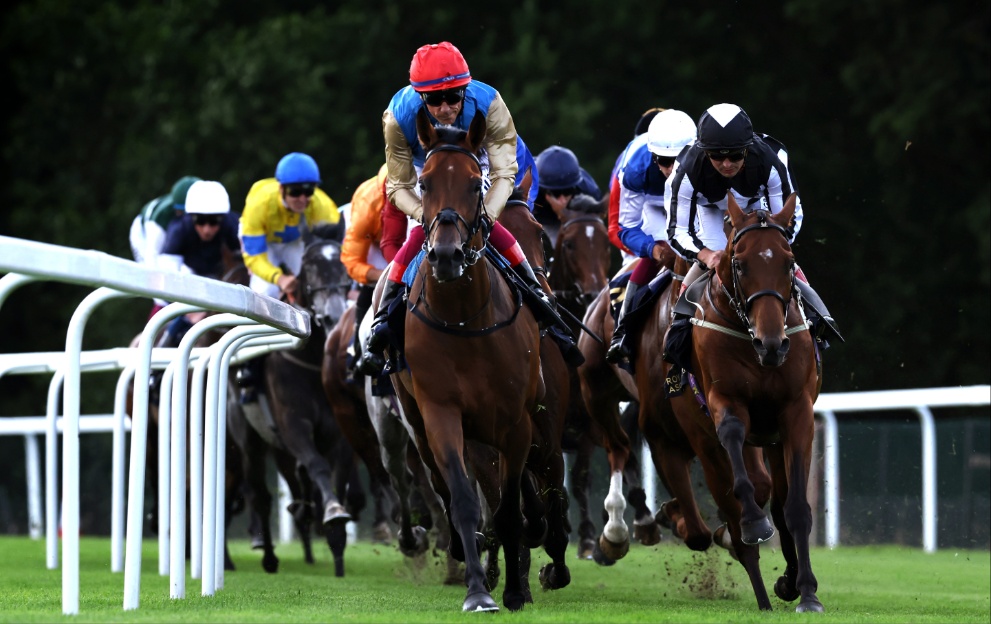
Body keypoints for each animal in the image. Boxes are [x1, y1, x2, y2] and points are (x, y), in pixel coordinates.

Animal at [392, 108, 568, 616]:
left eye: (474, 185)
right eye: (425, 182)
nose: (447, 254)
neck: (464, 319)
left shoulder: (516, 423)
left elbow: (514, 506)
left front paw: (514, 589)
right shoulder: (442, 415)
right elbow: (469, 501)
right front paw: (478, 590)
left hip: (540, 431)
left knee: (549, 489)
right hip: (425, 428)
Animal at [660, 194, 828, 608]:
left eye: (788, 261)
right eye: (739, 263)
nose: (773, 345)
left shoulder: (796, 412)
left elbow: (795, 508)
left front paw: (807, 593)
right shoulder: (725, 400)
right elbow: (735, 444)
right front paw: (754, 521)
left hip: (772, 441)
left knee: (779, 503)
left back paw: (786, 582)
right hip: (702, 441)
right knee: (736, 524)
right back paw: (762, 594)